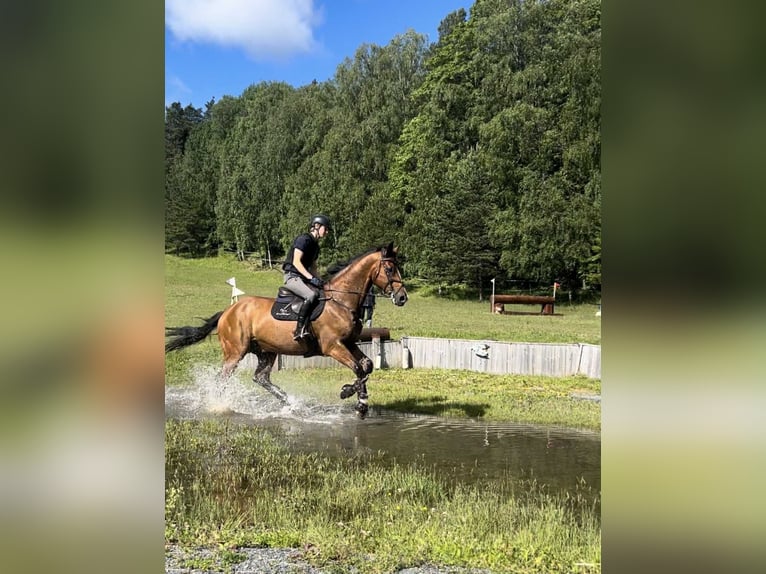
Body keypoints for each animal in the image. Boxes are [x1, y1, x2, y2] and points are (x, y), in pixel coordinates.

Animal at [165, 242, 407, 417]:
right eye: (389, 269)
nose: (402, 298)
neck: (341, 301)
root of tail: (227, 311)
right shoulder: (333, 346)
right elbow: (358, 368)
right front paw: (347, 392)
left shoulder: (348, 343)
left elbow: (367, 366)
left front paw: (362, 404)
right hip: (235, 352)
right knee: (222, 378)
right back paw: (218, 405)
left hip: (266, 351)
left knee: (261, 378)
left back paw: (290, 402)